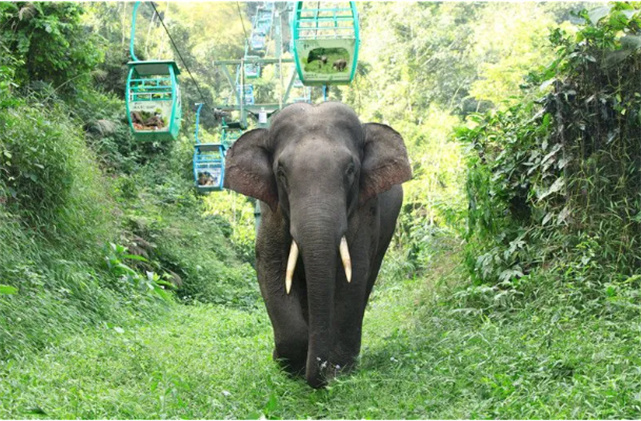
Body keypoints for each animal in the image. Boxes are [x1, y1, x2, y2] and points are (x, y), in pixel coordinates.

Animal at [222, 101, 412, 388]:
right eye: (281, 172)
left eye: (350, 170)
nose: (323, 369)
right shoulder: (271, 211)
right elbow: (271, 268)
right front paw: (290, 365)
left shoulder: (365, 209)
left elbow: (352, 276)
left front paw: (339, 370)